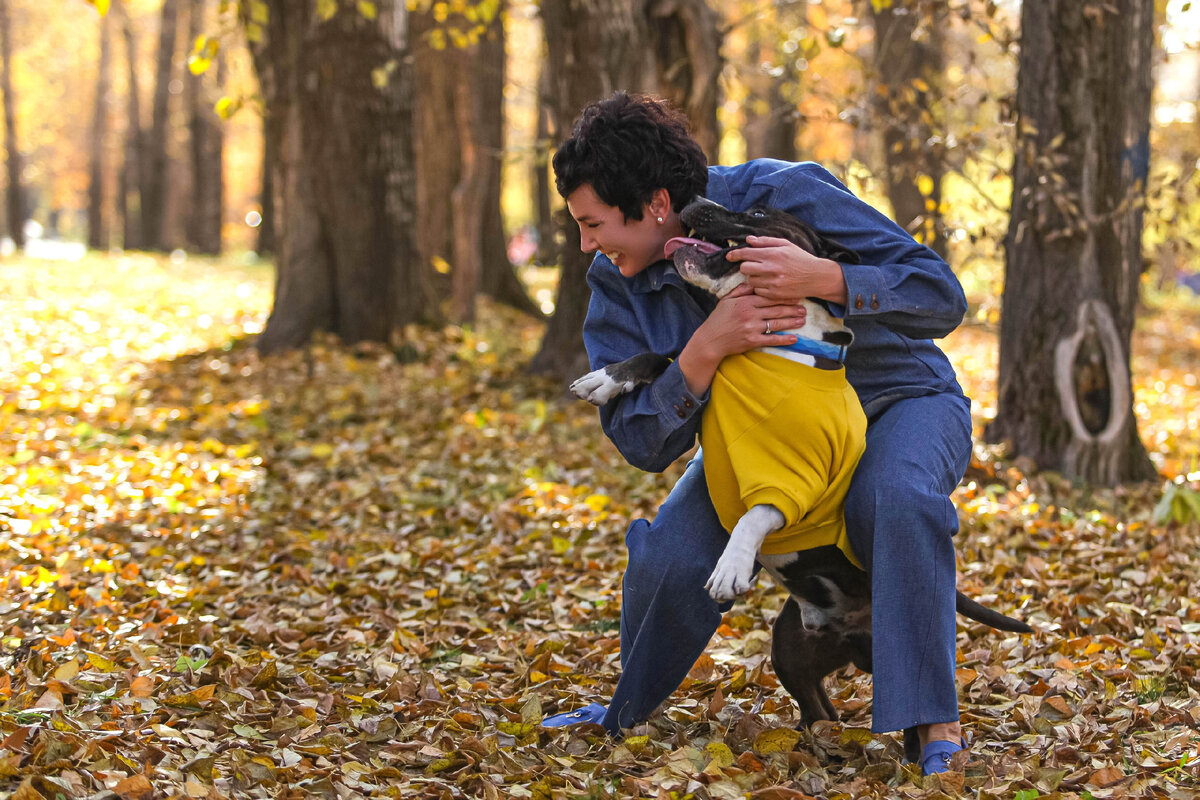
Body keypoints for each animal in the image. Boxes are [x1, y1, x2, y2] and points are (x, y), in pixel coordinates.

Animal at [571, 199, 1032, 734]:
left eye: (757, 211)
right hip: (791, 647)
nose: (696, 202)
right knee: (818, 708)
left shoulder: (798, 484)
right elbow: (665, 359)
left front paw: (730, 566)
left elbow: (754, 515)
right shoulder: (704, 383)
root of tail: (853, 637)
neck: (775, 346)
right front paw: (607, 378)